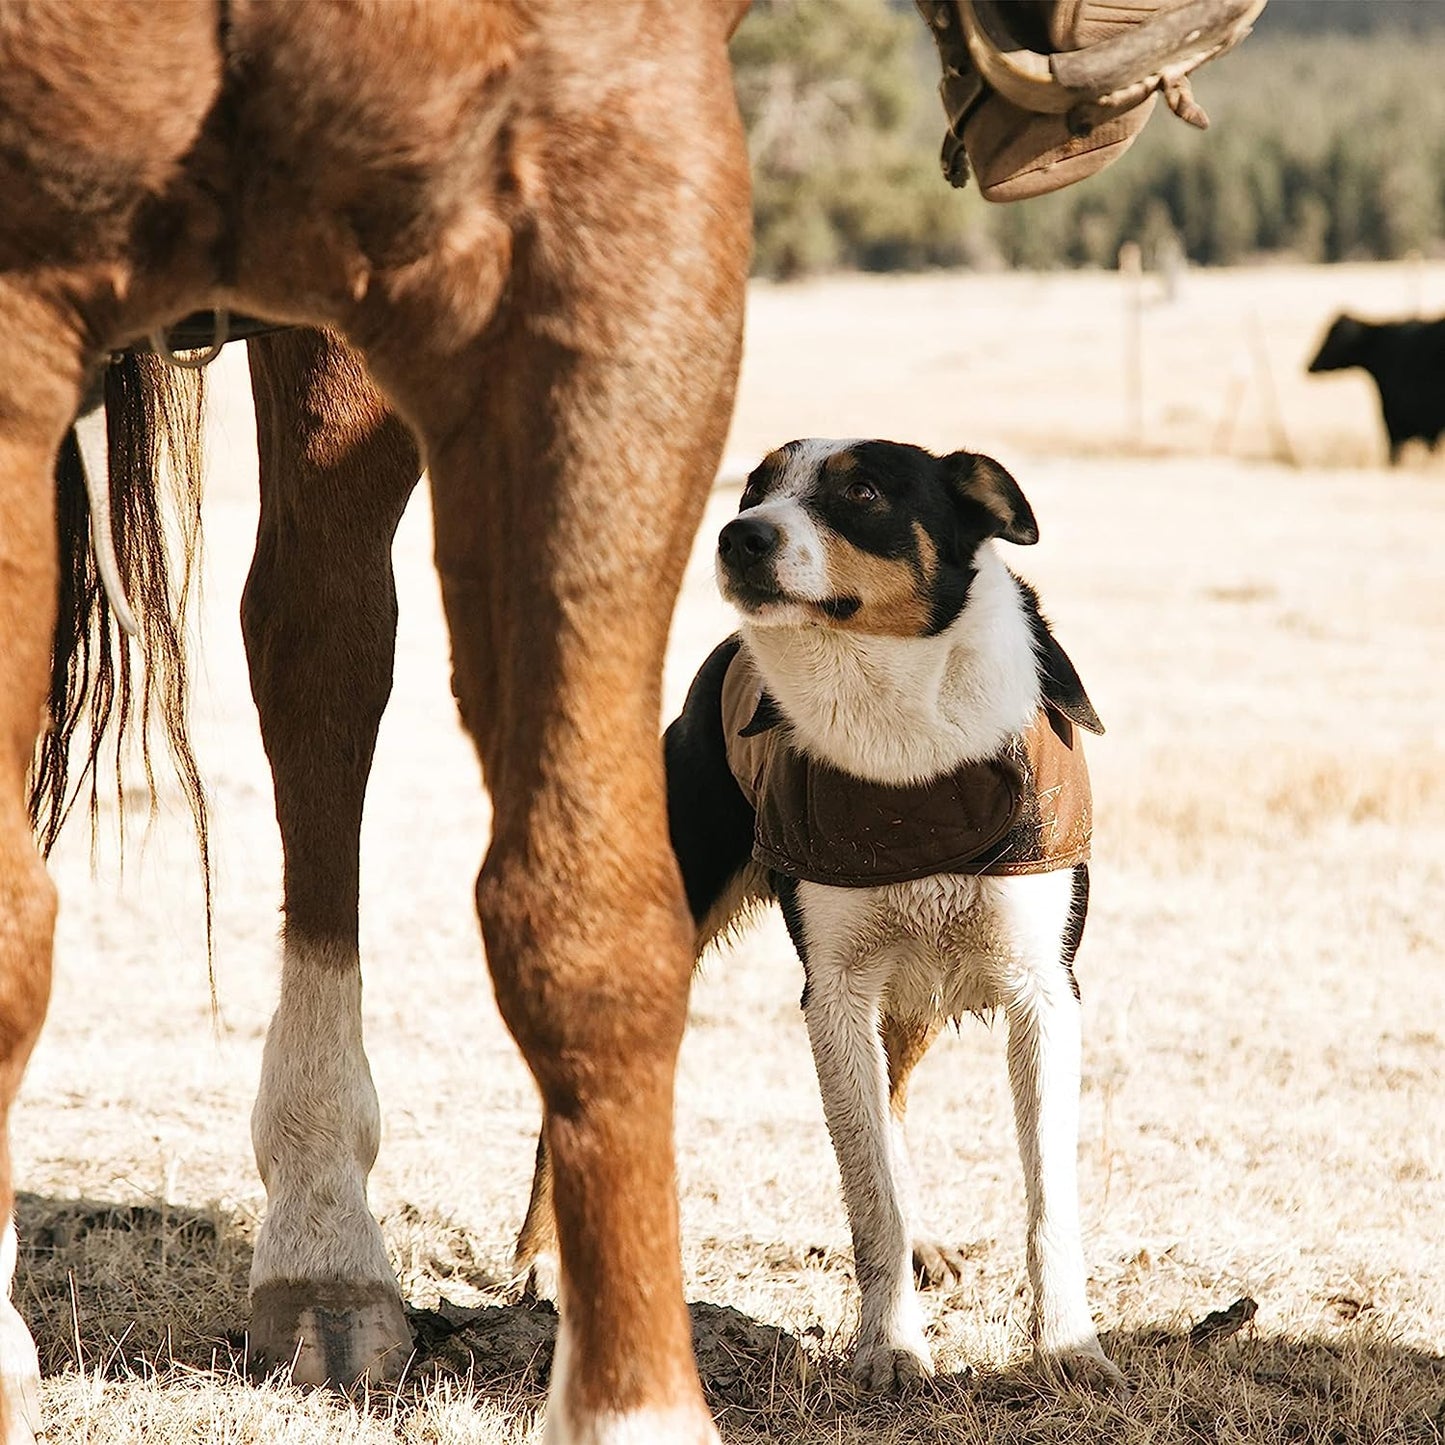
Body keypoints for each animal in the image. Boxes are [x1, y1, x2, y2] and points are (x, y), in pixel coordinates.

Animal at [670, 436, 1121, 1387]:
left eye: (865, 491)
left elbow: (1047, 1195)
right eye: (755, 487)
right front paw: (890, 1346)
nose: (737, 535)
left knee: (899, 1102)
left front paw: (1068, 1344)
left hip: (911, 994)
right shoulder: (834, 990)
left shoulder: (1043, 989)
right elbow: (868, 1189)